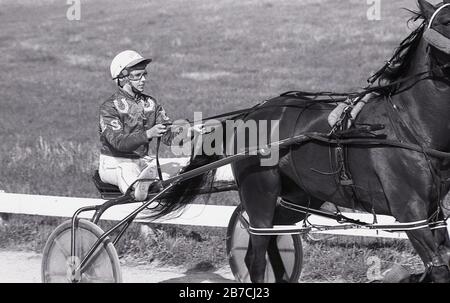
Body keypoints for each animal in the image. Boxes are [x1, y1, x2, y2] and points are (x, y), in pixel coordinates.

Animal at [148, 0, 450, 284]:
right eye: (445, 21)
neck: (409, 123)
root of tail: (247, 116)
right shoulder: (410, 213)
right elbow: (439, 269)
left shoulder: (433, 211)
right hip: (260, 195)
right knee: (255, 255)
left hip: (299, 195)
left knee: (275, 238)